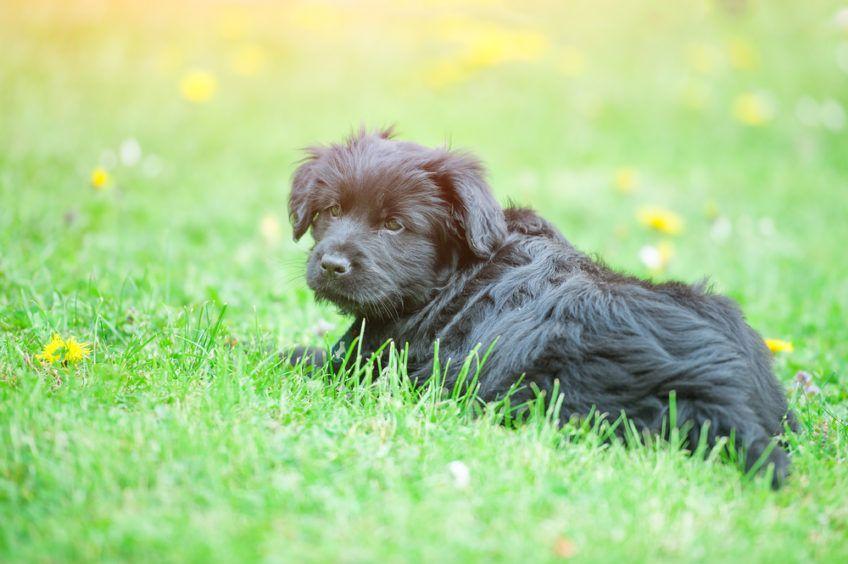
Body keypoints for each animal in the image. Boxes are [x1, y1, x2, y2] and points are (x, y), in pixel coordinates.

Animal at [290, 128, 796, 484]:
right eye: (331, 210)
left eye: (395, 225)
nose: (331, 264)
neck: (457, 270)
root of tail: (721, 390)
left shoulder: (368, 362)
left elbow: (300, 356)